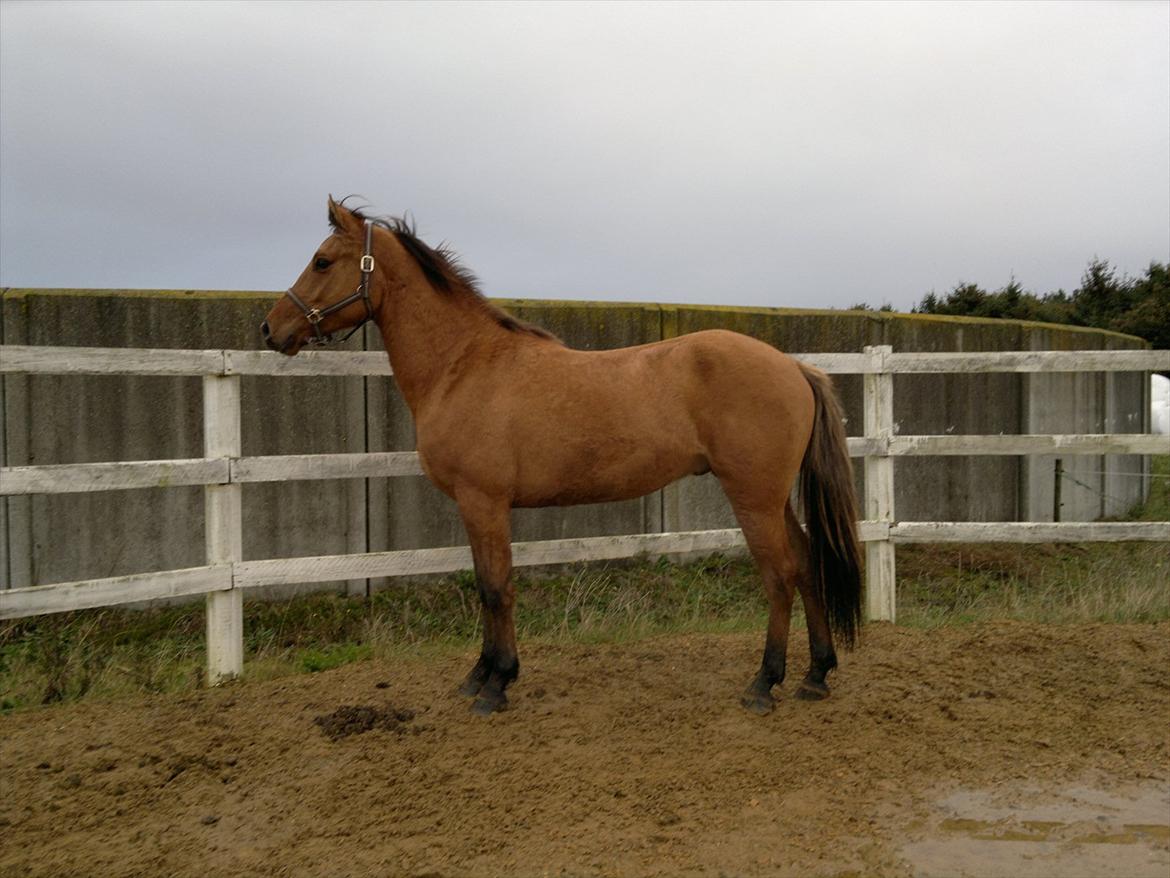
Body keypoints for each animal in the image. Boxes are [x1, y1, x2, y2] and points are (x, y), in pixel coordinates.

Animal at [262, 197, 863, 716]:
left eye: (322, 260)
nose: (271, 328)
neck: (464, 365)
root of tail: (794, 367)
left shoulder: (484, 502)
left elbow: (496, 589)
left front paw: (497, 683)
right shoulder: (475, 509)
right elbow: (485, 586)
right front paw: (479, 676)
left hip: (753, 497)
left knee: (779, 576)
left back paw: (765, 683)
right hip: (775, 499)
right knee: (807, 565)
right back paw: (816, 674)